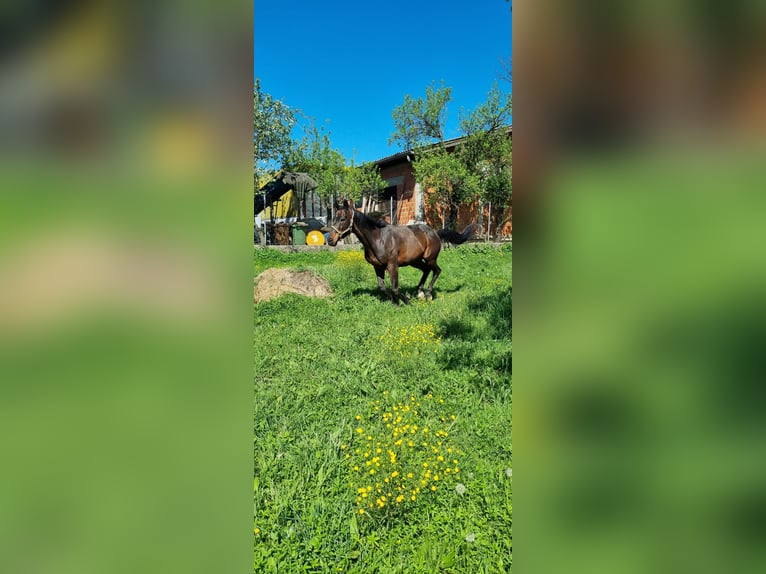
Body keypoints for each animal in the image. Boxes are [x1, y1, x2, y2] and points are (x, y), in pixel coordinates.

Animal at [328, 200, 476, 304]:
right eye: (333, 219)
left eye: (342, 219)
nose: (330, 240)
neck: (378, 239)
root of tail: (435, 233)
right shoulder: (378, 267)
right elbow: (382, 287)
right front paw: (394, 302)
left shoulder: (392, 265)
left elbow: (394, 287)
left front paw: (406, 301)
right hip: (415, 261)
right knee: (426, 270)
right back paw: (419, 293)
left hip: (430, 258)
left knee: (437, 270)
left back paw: (428, 294)